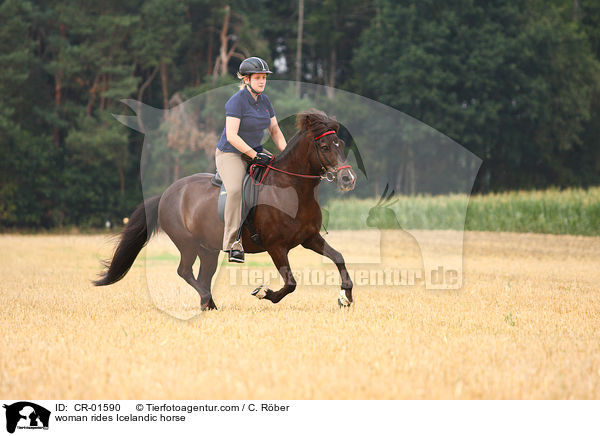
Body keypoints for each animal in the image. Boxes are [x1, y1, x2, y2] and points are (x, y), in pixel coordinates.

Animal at [94, 110, 356, 312]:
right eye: (324, 146)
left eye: (341, 145)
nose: (348, 179)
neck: (292, 190)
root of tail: (166, 195)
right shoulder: (276, 246)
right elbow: (290, 283)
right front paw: (263, 292)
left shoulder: (310, 238)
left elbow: (339, 258)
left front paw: (346, 297)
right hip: (187, 244)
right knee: (184, 271)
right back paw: (208, 301)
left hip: (207, 249)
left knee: (201, 275)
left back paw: (208, 305)